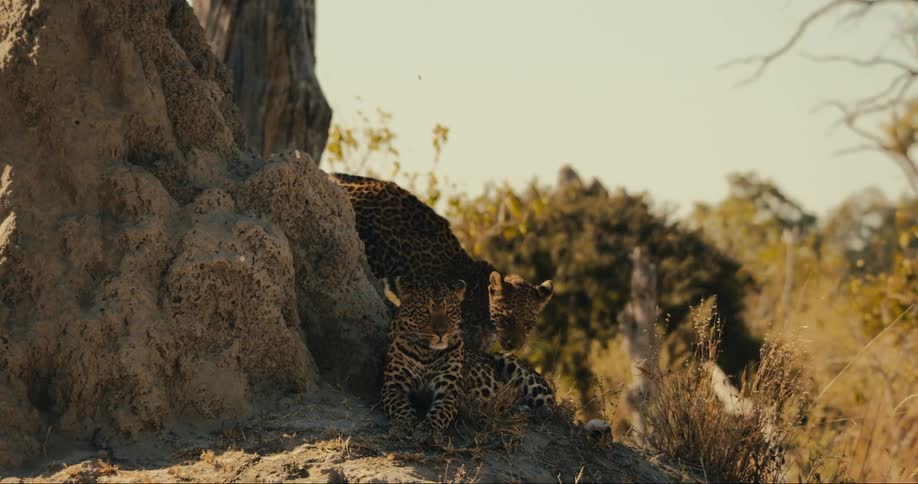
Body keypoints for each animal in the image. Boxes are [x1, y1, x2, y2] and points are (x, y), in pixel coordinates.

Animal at [382, 277, 556, 445]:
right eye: (424, 310)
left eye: (449, 310)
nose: (441, 332)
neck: (427, 352)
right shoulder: (393, 386)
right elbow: (400, 408)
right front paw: (402, 426)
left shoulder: (450, 392)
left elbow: (439, 414)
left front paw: (428, 431)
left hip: (511, 364)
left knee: (550, 407)